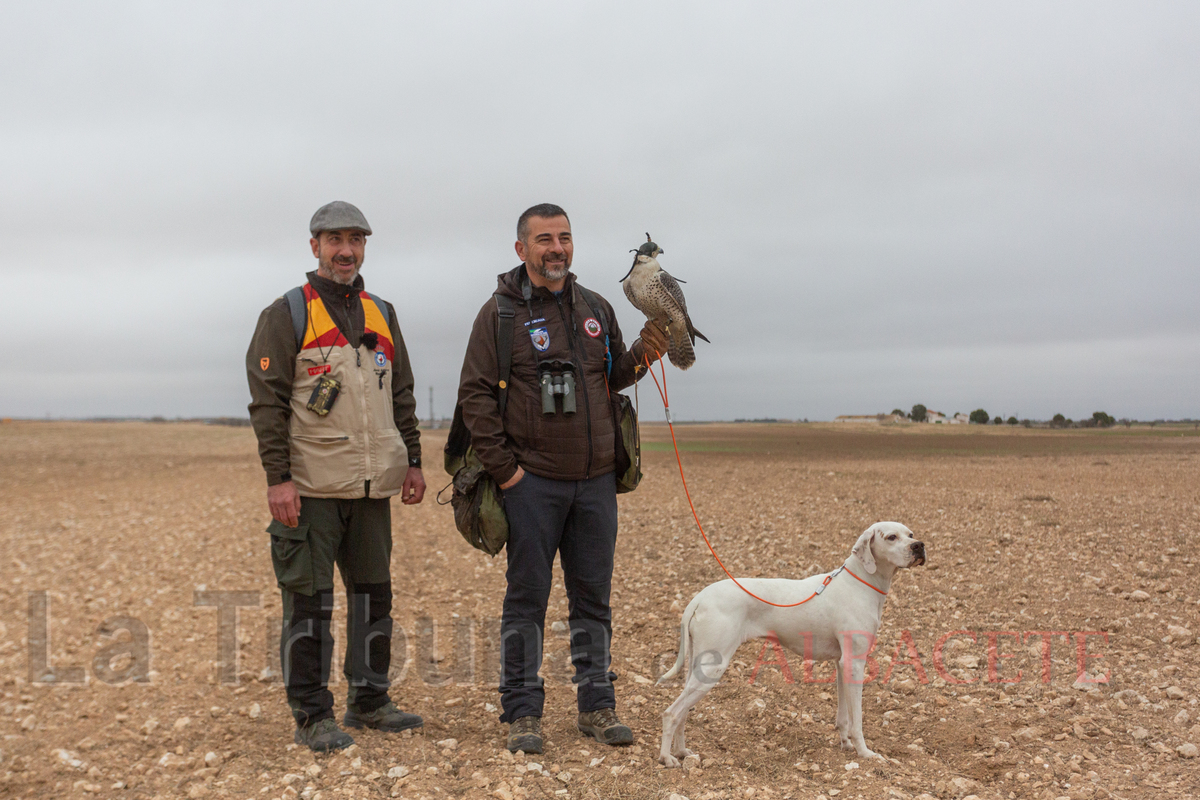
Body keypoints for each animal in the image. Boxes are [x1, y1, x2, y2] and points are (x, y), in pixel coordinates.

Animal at [662, 522, 921, 767]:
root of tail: (699, 598)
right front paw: (865, 753)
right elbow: (856, 720)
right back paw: (667, 758)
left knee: (682, 713)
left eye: (910, 534)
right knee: (671, 713)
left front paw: (846, 745)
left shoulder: (842, 664)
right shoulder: (855, 664)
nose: (919, 546)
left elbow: (843, 717)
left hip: (698, 667)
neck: (861, 582)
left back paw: (682, 752)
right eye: (891, 537)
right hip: (713, 668)